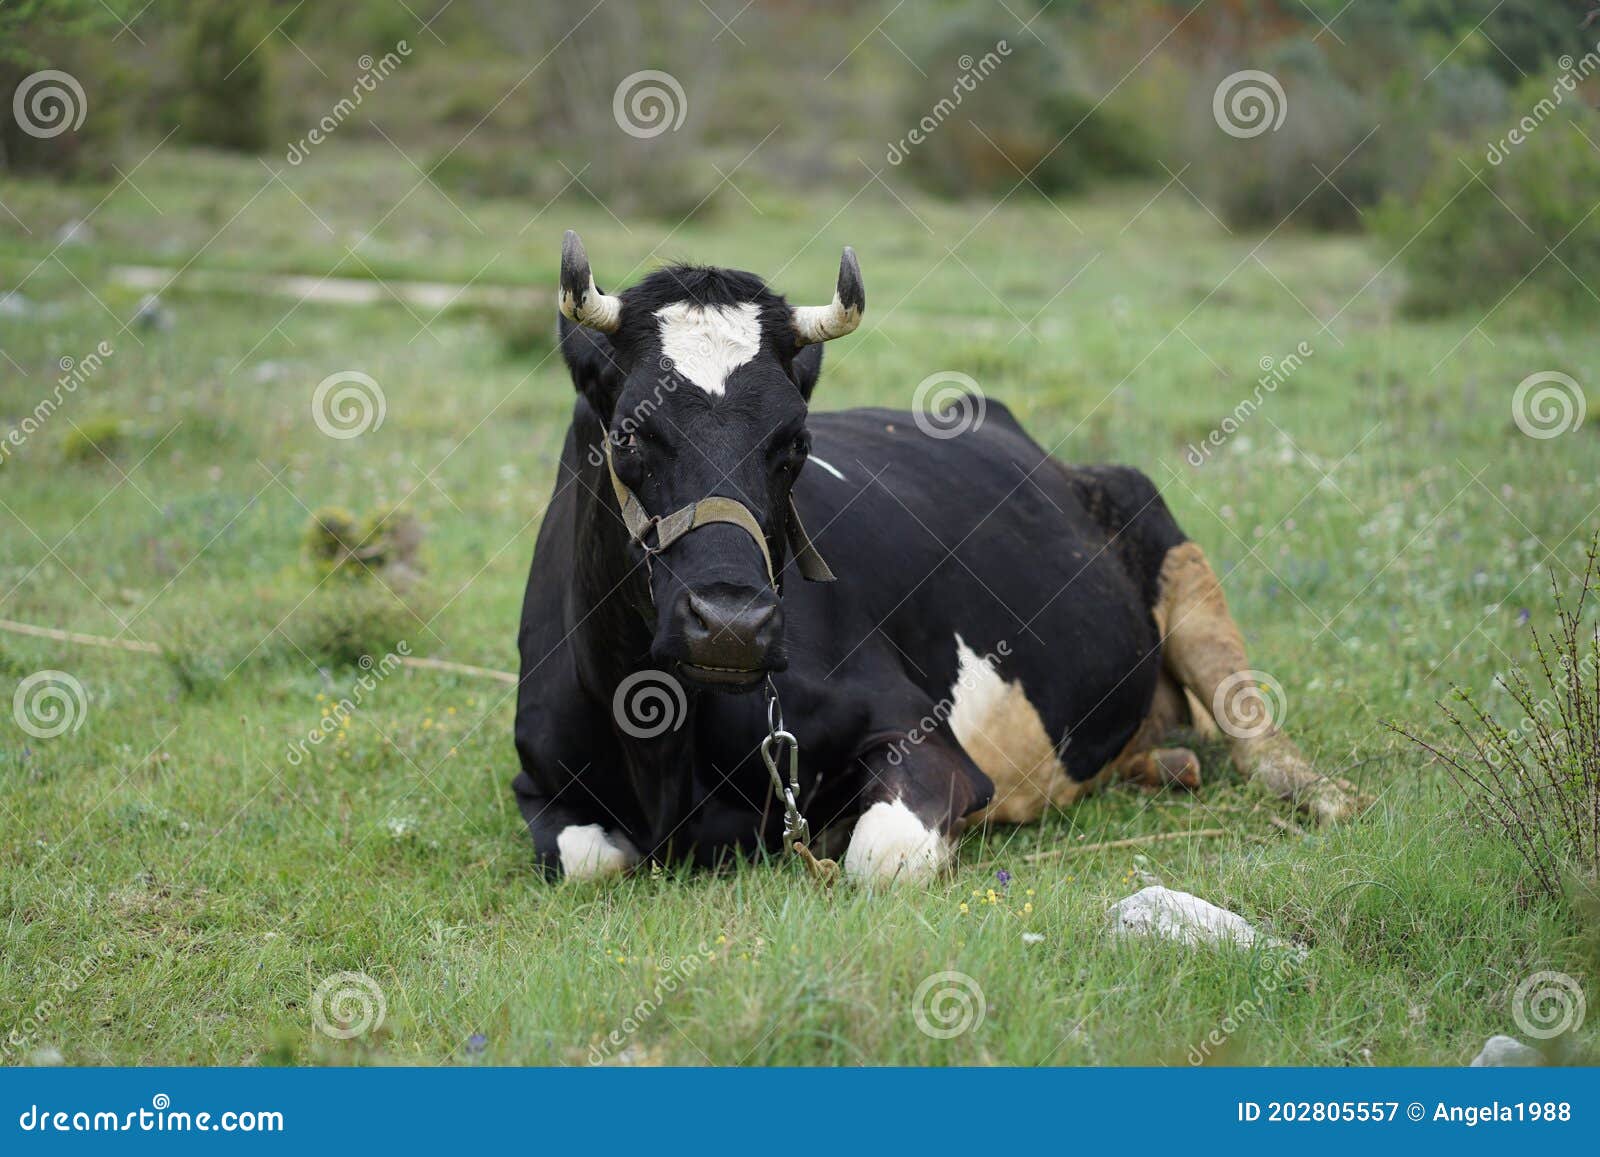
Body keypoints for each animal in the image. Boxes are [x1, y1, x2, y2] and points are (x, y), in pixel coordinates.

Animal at [515, 235, 1363, 889]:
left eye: (796, 442)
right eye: (629, 432)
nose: (731, 622)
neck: (664, 747)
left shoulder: (924, 742)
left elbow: (879, 856)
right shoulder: (539, 782)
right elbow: (584, 859)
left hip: (1180, 562)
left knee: (1256, 734)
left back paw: (1326, 795)